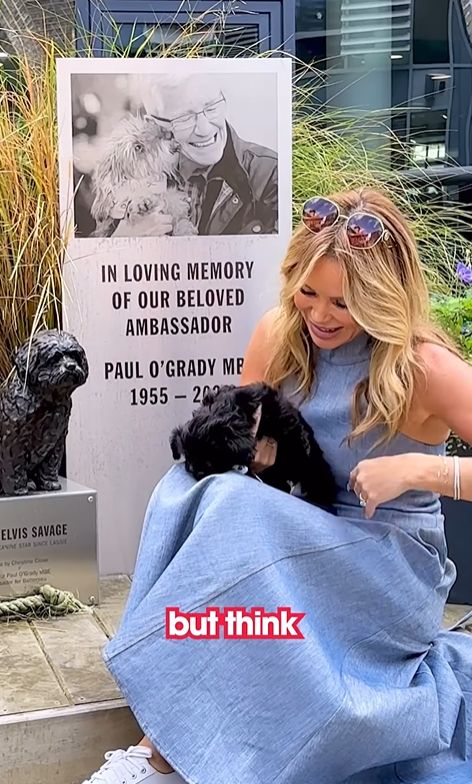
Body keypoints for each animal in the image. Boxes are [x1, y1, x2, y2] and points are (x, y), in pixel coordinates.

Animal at [168, 382, 338, 512]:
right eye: (189, 458)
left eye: (212, 455)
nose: (197, 472)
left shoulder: (275, 408)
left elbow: (292, 427)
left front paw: (304, 447)